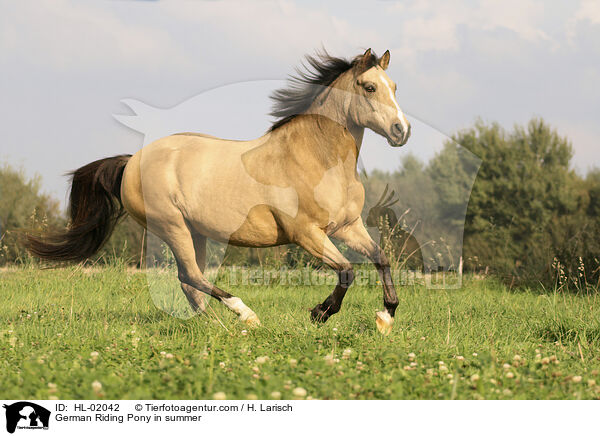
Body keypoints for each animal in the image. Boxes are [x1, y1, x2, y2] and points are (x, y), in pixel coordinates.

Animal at [28, 48, 412, 334]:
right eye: (369, 87)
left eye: (394, 86)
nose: (401, 131)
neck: (318, 158)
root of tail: (131, 162)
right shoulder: (306, 233)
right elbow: (347, 270)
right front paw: (320, 313)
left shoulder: (348, 227)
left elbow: (381, 257)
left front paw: (385, 318)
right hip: (172, 227)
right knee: (190, 276)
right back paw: (245, 315)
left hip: (194, 231)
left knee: (190, 282)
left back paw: (212, 325)